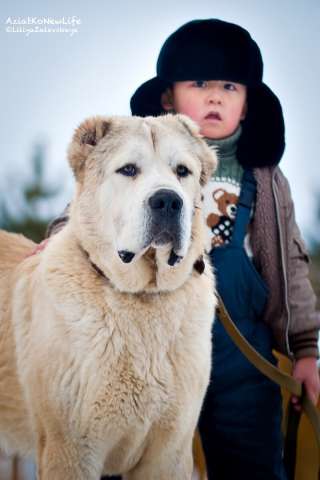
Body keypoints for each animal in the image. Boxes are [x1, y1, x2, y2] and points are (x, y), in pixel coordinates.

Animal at [0, 114, 218, 478]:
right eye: (128, 169)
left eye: (182, 171)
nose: (168, 200)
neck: (143, 297)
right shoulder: (70, 450)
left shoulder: (168, 454)